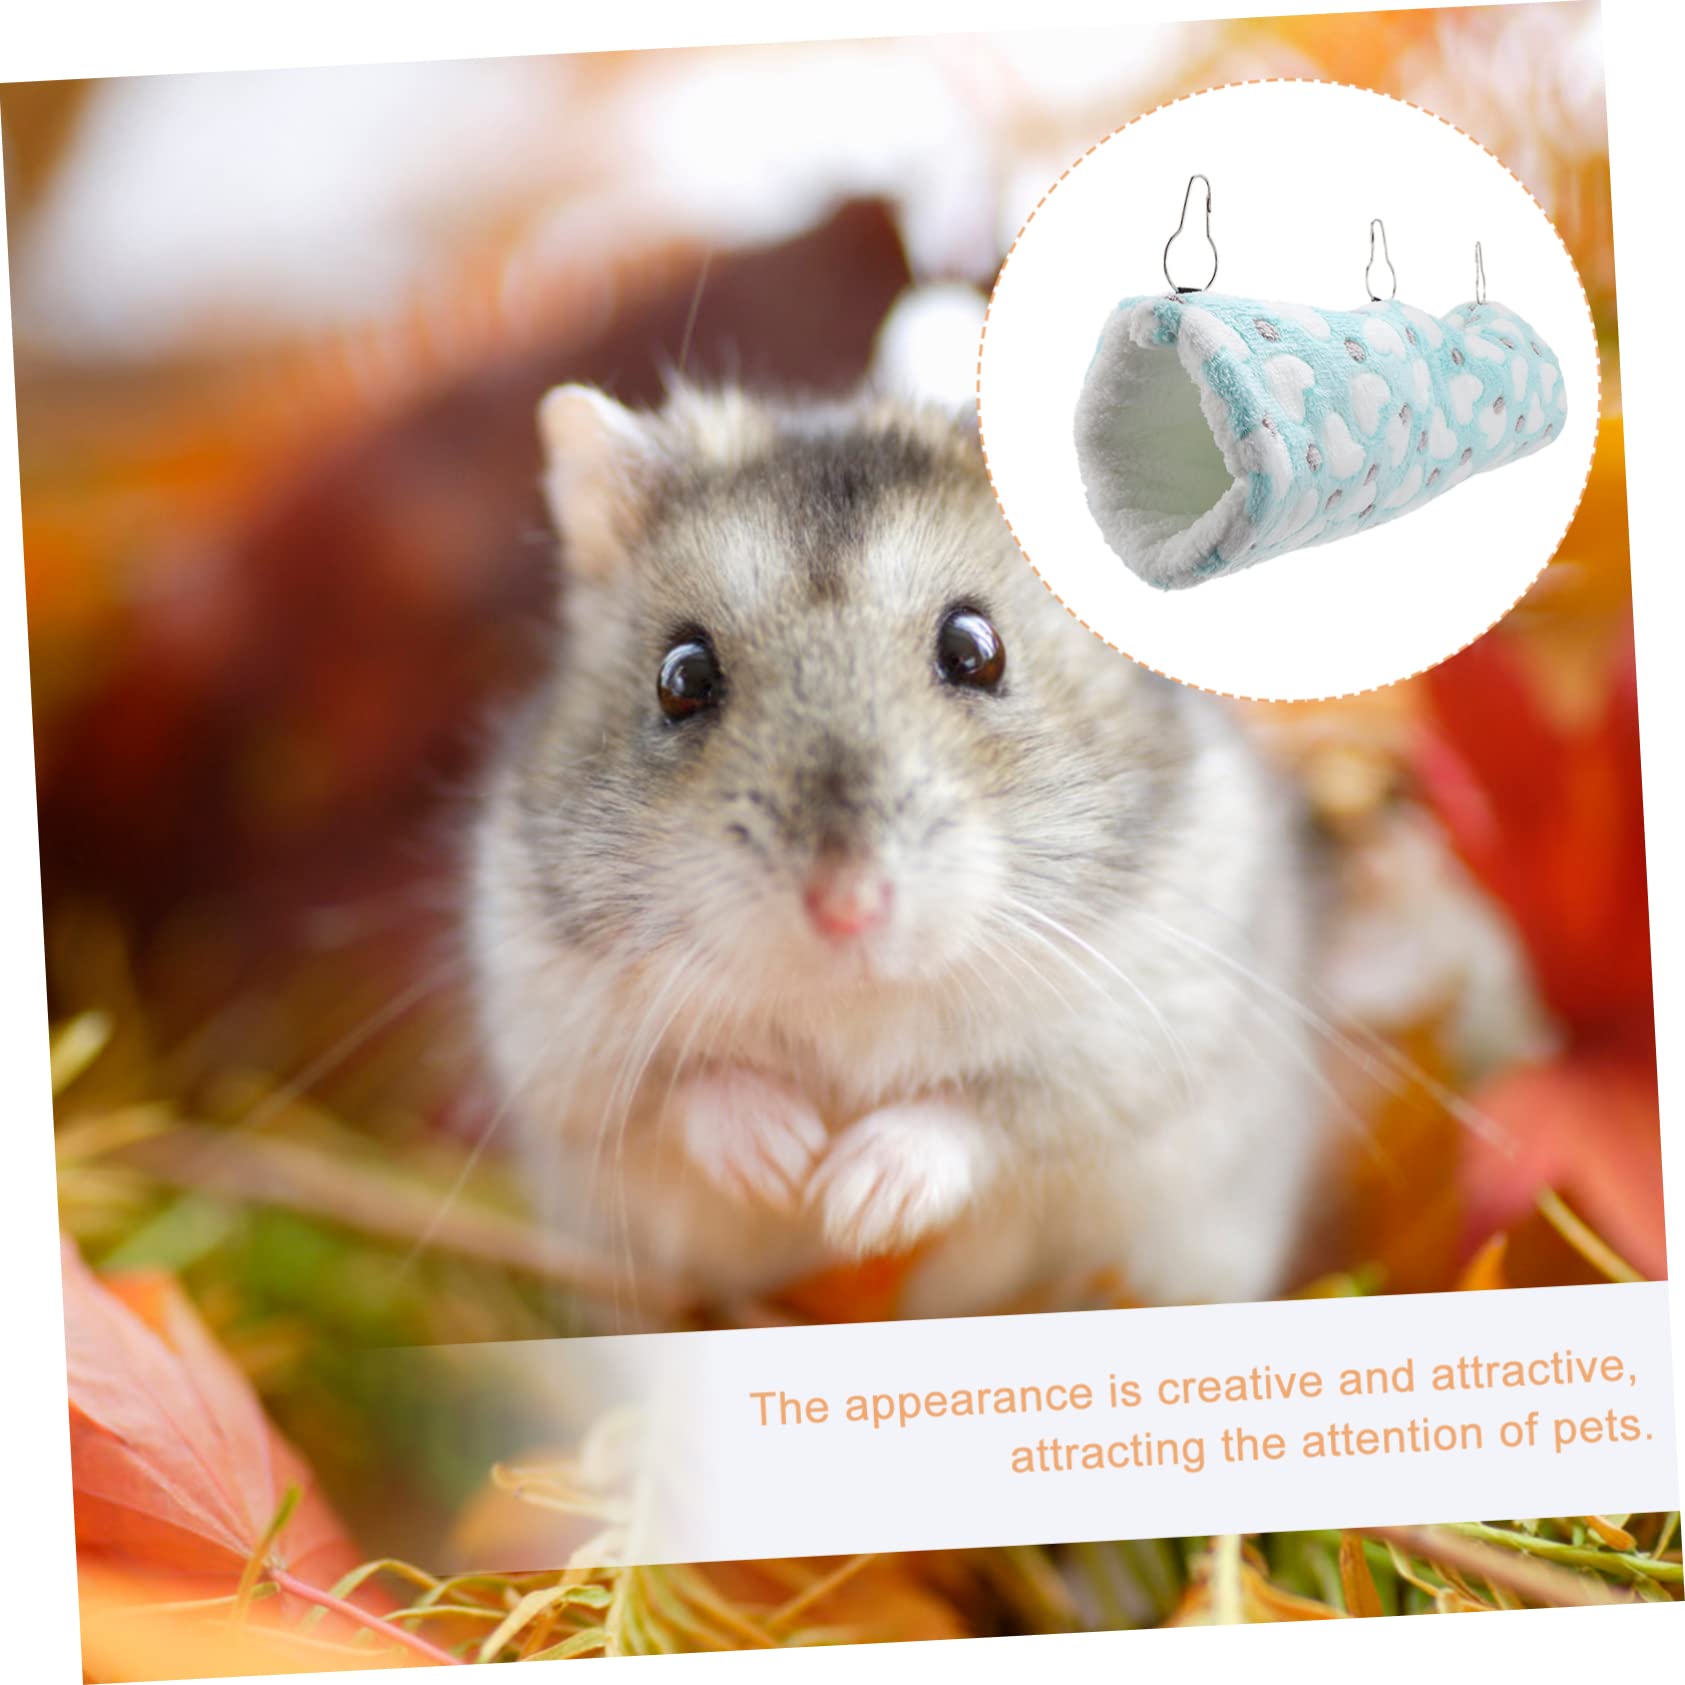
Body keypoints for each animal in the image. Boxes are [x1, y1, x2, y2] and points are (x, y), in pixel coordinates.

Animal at [467, 382, 1327, 1321]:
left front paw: (852, 1196)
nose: (846, 906)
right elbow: (684, 1090)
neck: (852, 1003)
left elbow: (983, 1111)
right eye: (681, 678)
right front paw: (788, 1162)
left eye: (974, 650)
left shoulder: (1136, 1038)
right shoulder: (558, 1042)